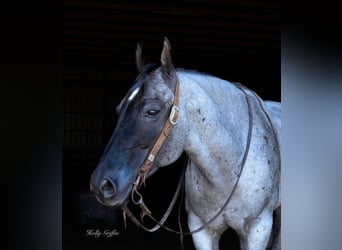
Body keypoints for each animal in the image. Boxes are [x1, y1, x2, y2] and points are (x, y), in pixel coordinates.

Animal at [90, 37, 280, 250]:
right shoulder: (201, 230)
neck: (229, 169)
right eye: (118, 108)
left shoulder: (258, 229)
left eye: (152, 111)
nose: (101, 184)